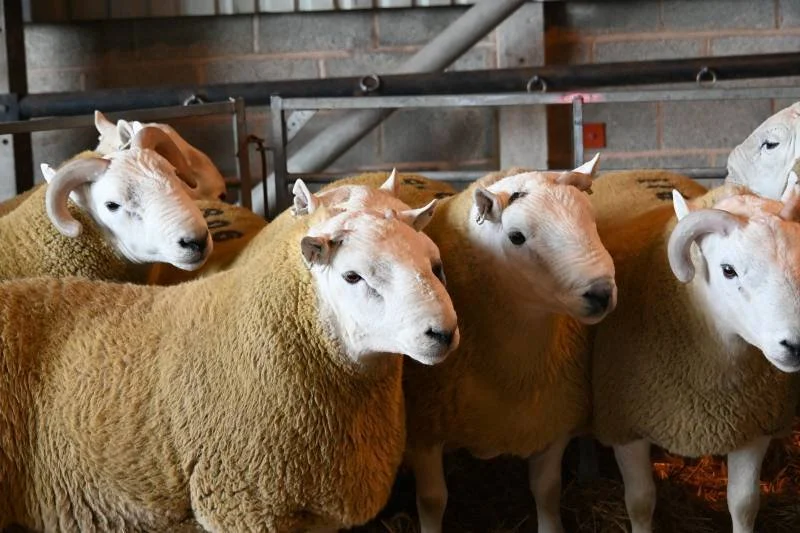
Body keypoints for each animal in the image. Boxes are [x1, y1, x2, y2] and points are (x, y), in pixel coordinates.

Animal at [396, 158, 617, 533]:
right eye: (516, 237)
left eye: (592, 218)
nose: (601, 293)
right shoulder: (425, 425)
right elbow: (432, 500)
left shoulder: (553, 417)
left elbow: (547, 490)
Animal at [590, 180, 800, 533]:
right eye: (728, 270)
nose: (796, 344)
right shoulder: (624, 426)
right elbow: (640, 503)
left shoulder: (754, 426)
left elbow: (744, 504)